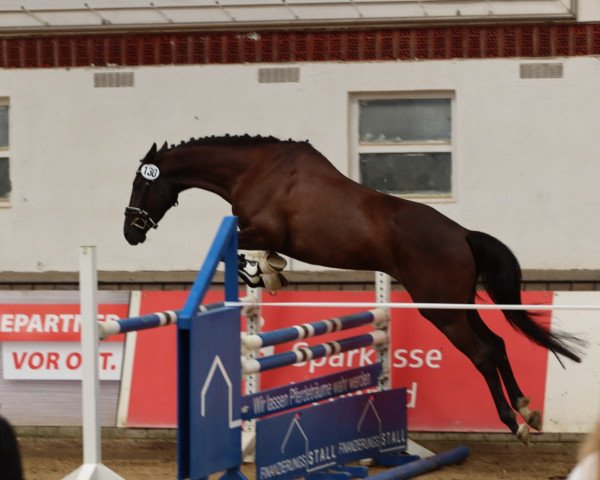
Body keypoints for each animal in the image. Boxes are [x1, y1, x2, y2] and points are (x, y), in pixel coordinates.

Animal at [124, 133, 584, 444]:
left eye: (141, 184)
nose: (131, 232)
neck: (254, 170)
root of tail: (464, 235)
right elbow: (259, 255)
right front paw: (269, 272)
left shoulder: (261, 228)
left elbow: (233, 246)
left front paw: (259, 273)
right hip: (457, 305)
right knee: (498, 345)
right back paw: (527, 409)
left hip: (441, 310)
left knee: (484, 354)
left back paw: (513, 421)